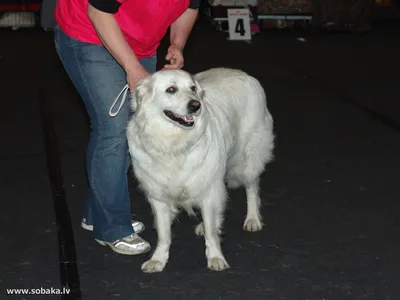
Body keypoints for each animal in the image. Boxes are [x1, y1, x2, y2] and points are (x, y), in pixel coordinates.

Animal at [126, 67, 274, 272]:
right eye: (171, 89)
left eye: (193, 88)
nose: (196, 105)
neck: (173, 144)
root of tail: (244, 74)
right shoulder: (158, 196)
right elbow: (163, 234)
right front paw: (158, 259)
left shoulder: (209, 191)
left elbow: (212, 233)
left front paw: (215, 257)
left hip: (247, 160)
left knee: (252, 189)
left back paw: (253, 219)